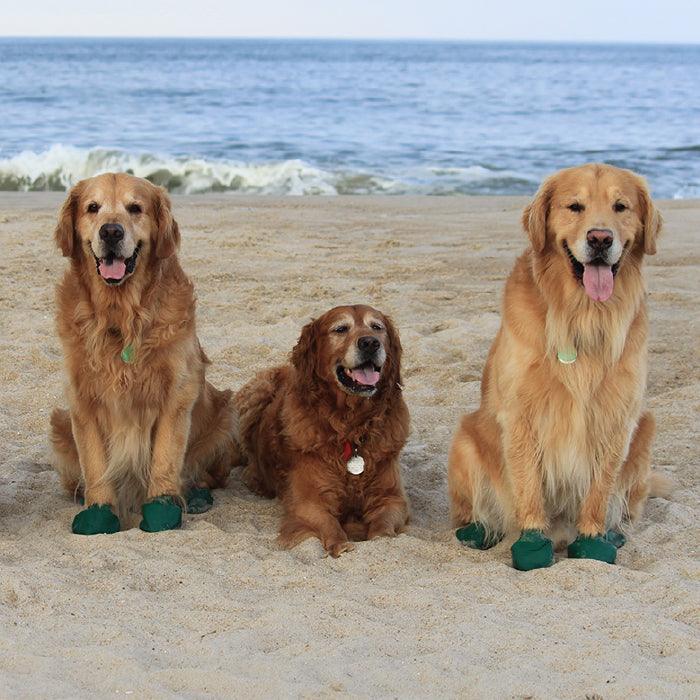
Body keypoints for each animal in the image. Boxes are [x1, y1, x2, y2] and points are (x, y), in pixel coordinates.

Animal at [50, 175, 238, 536]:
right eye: (92, 207)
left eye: (135, 208)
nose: (111, 232)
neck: (121, 317)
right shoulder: (82, 400)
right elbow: (95, 463)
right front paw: (98, 513)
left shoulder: (177, 393)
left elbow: (165, 455)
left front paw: (162, 509)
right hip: (59, 426)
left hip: (224, 415)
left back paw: (196, 497)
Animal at [237, 306, 410, 556]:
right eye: (340, 329)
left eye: (377, 327)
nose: (370, 343)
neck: (351, 427)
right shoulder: (308, 502)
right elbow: (329, 524)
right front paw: (341, 544)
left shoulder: (392, 498)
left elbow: (383, 526)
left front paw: (381, 539)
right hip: (256, 392)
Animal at [448, 167, 668, 572]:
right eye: (574, 206)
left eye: (621, 206)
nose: (600, 238)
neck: (581, 315)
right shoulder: (521, 416)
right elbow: (530, 489)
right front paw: (532, 546)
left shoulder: (615, 419)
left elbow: (599, 491)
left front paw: (593, 542)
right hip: (467, 438)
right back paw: (477, 531)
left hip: (644, 431)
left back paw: (612, 534)